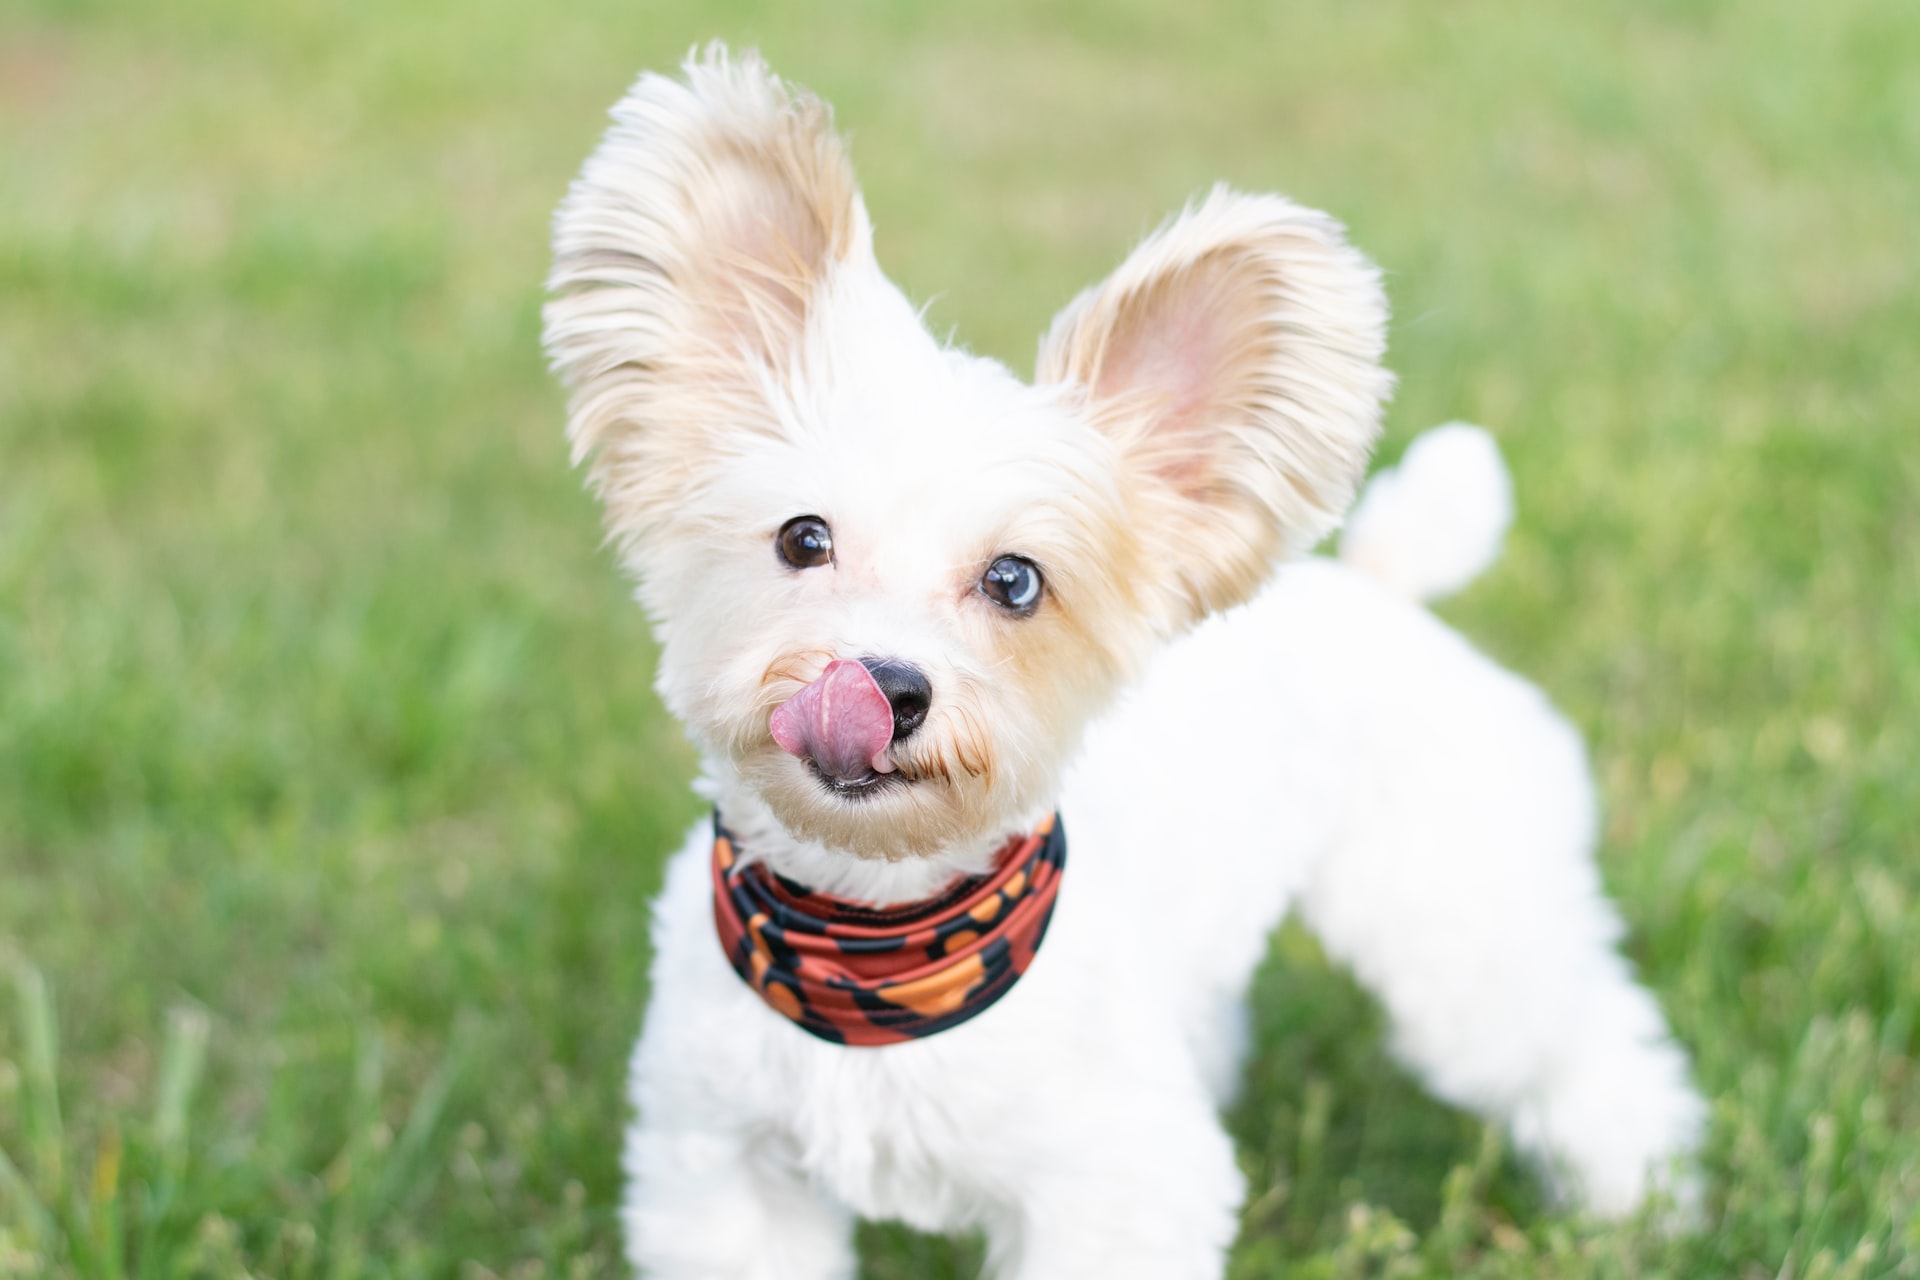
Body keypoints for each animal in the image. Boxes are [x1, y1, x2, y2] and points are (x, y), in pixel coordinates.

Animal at [541, 45, 1697, 1274]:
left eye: (1015, 581)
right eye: (804, 539)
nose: (884, 686)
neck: (877, 948)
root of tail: (1377, 581)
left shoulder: (1117, 1189)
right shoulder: (723, 1168)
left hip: (1456, 925)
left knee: (1581, 1042)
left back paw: (1643, 1200)